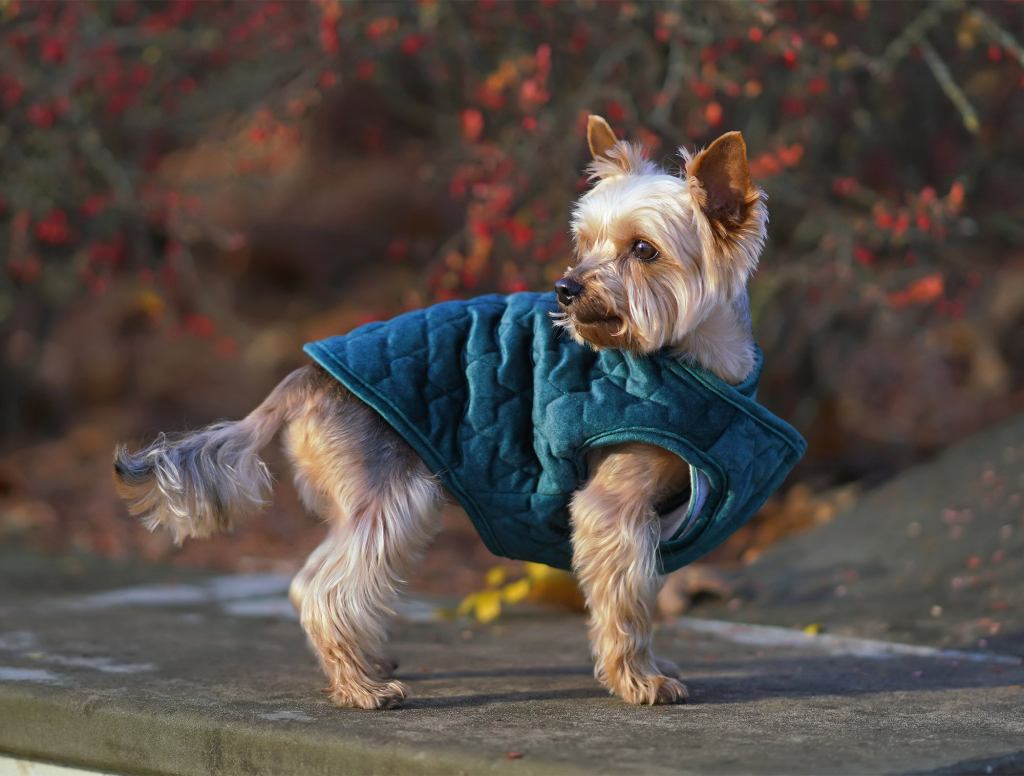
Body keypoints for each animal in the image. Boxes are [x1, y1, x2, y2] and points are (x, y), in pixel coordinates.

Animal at [114, 117, 770, 712]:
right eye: (584, 245)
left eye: (642, 250)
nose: (566, 288)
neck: (682, 355)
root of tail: (304, 377)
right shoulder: (611, 510)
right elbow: (626, 601)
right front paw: (639, 679)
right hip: (395, 495)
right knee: (325, 589)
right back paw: (362, 690)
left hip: (356, 496)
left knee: (314, 580)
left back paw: (362, 664)